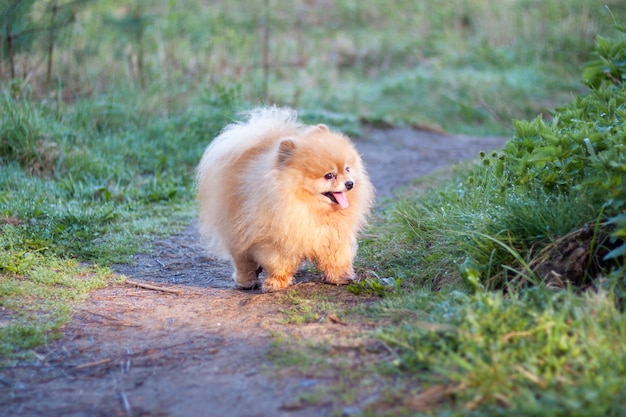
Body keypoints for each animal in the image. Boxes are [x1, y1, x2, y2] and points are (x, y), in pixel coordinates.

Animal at [196, 105, 370, 290]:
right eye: (329, 175)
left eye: (347, 169)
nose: (350, 183)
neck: (308, 206)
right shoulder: (277, 241)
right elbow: (278, 263)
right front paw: (275, 283)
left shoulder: (333, 235)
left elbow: (338, 258)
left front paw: (341, 277)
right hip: (236, 232)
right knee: (243, 260)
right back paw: (247, 281)